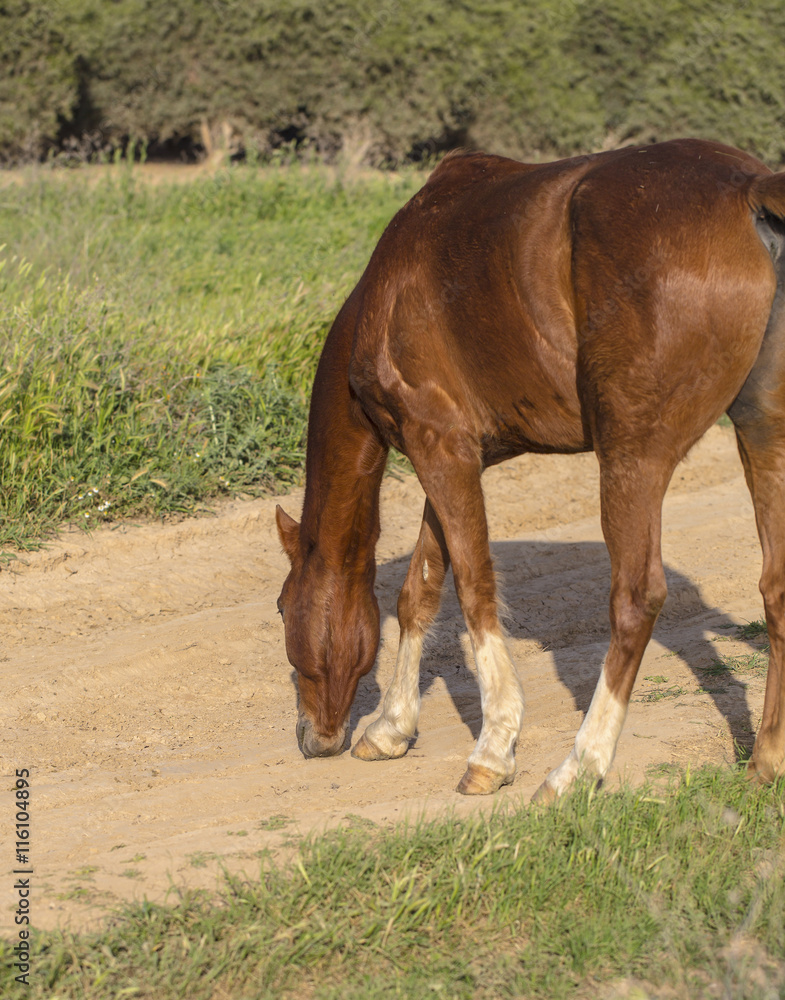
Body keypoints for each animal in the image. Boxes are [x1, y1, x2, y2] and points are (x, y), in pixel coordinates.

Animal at [276, 138, 785, 799]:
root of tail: (747, 187)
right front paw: (391, 727)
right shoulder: (451, 456)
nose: (311, 739)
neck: (384, 298)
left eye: (282, 606)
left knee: (635, 599)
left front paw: (494, 747)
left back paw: (578, 768)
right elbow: (419, 589)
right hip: (762, 434)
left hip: (632, 458)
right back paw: (765, 763)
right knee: (776, 587)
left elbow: (473, 589)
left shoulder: (440, 450)